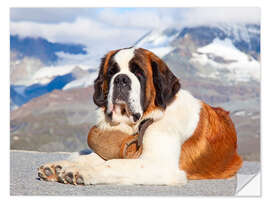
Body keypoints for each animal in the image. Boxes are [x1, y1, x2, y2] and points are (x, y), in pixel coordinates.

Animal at [37, 47, 243, 186]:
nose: (121, 79)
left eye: (138, 72)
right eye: (112, 72)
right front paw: (59, 166)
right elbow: (95, 157)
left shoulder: (160, 166)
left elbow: (113, 164)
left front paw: (79, 171)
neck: (138, 124)